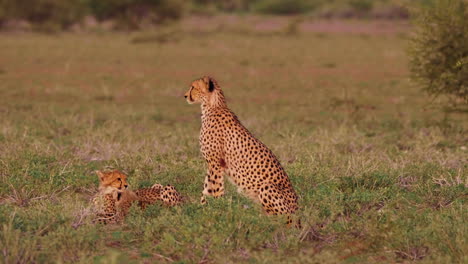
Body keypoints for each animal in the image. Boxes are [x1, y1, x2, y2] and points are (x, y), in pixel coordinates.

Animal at [184, 75, 300, 226]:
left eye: (193, 87)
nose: (185, 96)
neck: (212, 106)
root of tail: (299, 214)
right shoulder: (214, 164)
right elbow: (207, 186)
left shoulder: (215, 163)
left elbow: (212, 188)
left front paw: (210, 210)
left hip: (267, 187)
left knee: (281, 220)